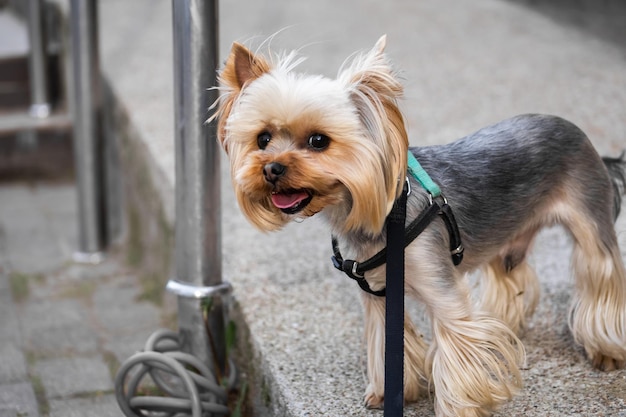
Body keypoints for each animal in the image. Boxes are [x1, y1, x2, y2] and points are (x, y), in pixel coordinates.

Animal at [212, 36, 624, 416]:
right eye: (263, 138)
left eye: (318, 141)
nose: (271, 168)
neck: (376, 214)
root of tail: (580, 135)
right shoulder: (378, 295)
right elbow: (387, 342)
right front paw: (389, 392)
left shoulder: (443, 292)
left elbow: (459, 348)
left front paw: (459, 407)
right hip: (510, 237)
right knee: (510, 272)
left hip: (589, 217)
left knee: (601, 273)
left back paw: (605, 349)